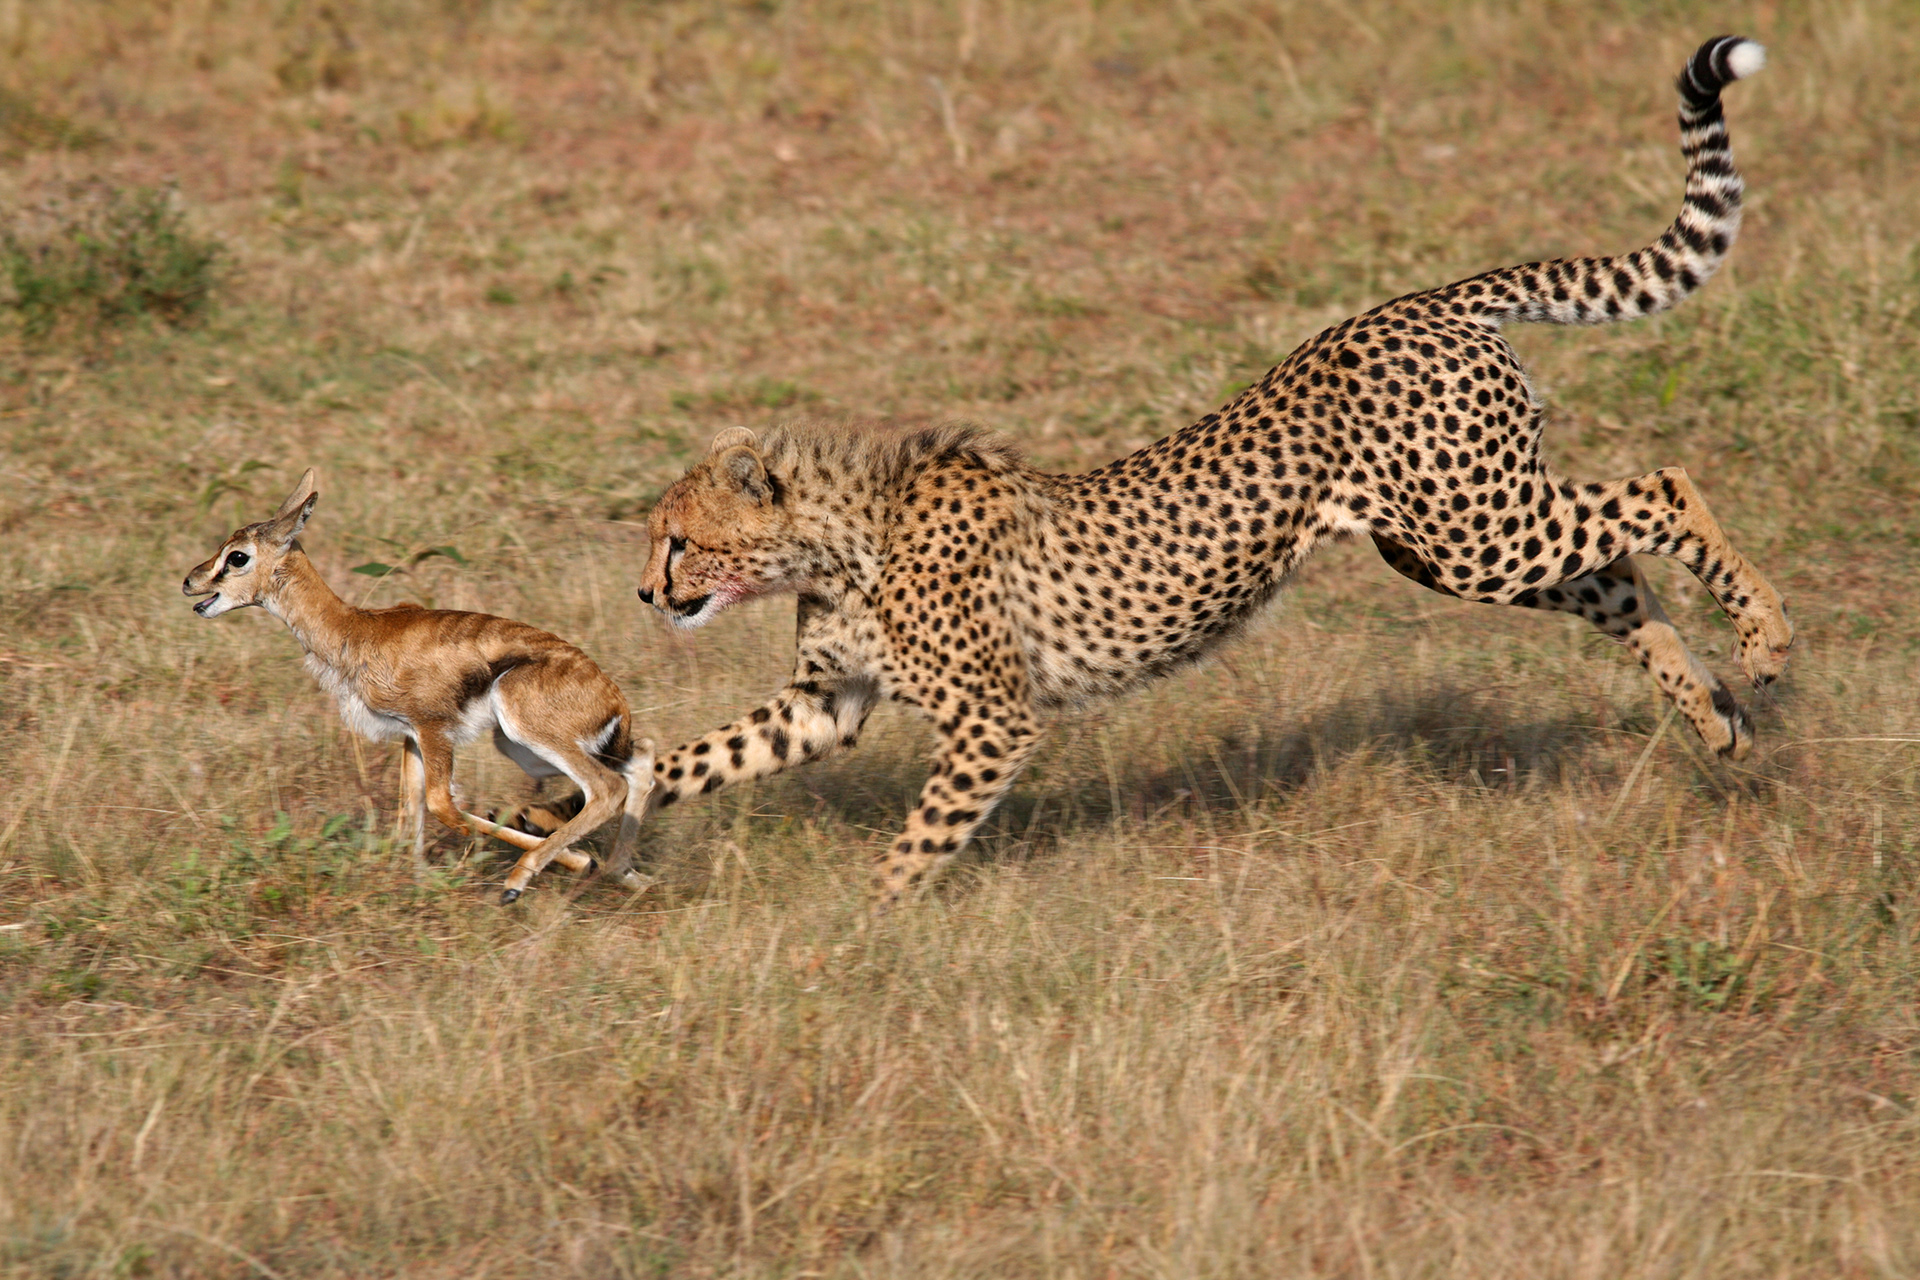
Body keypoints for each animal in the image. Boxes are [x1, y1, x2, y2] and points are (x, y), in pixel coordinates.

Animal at [576, 35, 1793, 909]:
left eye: (677, 541)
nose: (642, 592)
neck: (839, 541)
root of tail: (1419, 301)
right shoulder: (826, 702)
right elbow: (698, 753)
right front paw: (589, 817)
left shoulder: (992, 720)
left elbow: (918, 839)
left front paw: (864, 925)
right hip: (1453, 540)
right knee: (1619, 571)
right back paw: (1713, 713)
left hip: (1477, 530)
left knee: (1663, 487)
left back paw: (1767, 641)